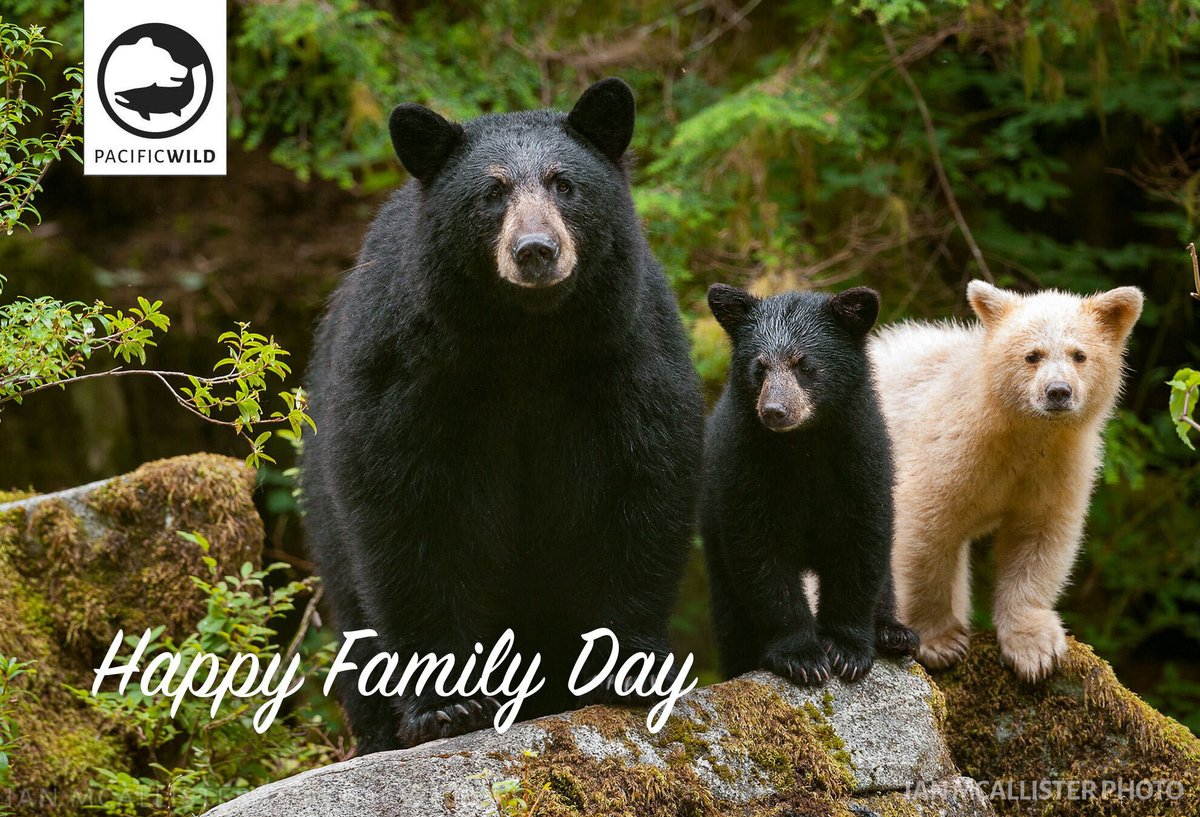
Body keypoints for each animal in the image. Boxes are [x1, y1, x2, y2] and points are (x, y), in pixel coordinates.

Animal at [300, 79, 705, 748]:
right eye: (491, 193)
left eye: (564, 183)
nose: (536, 251)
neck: (525, 340)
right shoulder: (409, 371)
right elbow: (410, 516)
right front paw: (446, 706)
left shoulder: (625, 357)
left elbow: (638, 491)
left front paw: (627, 671)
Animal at [700, 283, 912, 686]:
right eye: (759, 367)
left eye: (805, 366)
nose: (774, 411)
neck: (803, 446)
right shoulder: (745, 466)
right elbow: (761, 556)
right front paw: (802, 656)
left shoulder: (862, 458)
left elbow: (861, 546)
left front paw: (847, 649)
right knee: (731, 616)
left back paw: (894, 634)